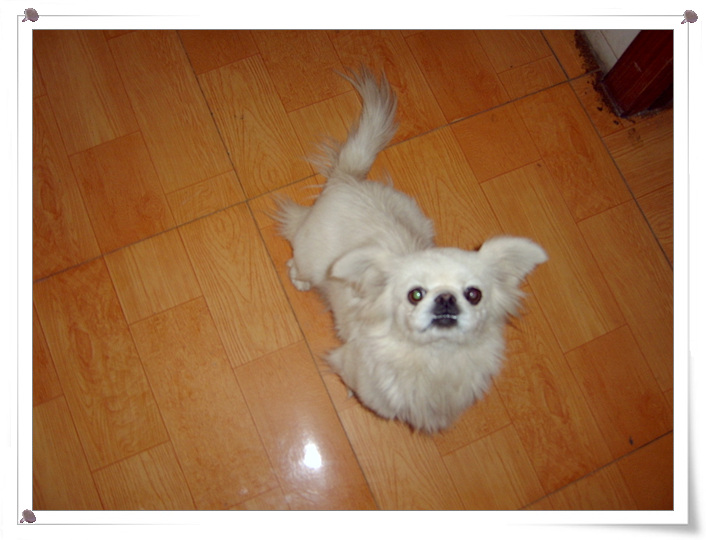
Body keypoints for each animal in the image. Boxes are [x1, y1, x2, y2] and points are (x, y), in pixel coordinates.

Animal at [276, 68, 547, 432]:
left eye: (474, 294)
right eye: (414, 294)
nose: (445, 299)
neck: (435, 360)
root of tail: (347, 182)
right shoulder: (353, 366)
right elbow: (359, 386)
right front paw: (351, 393)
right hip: (311, 255)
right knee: (297, 257)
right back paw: (301, 279)